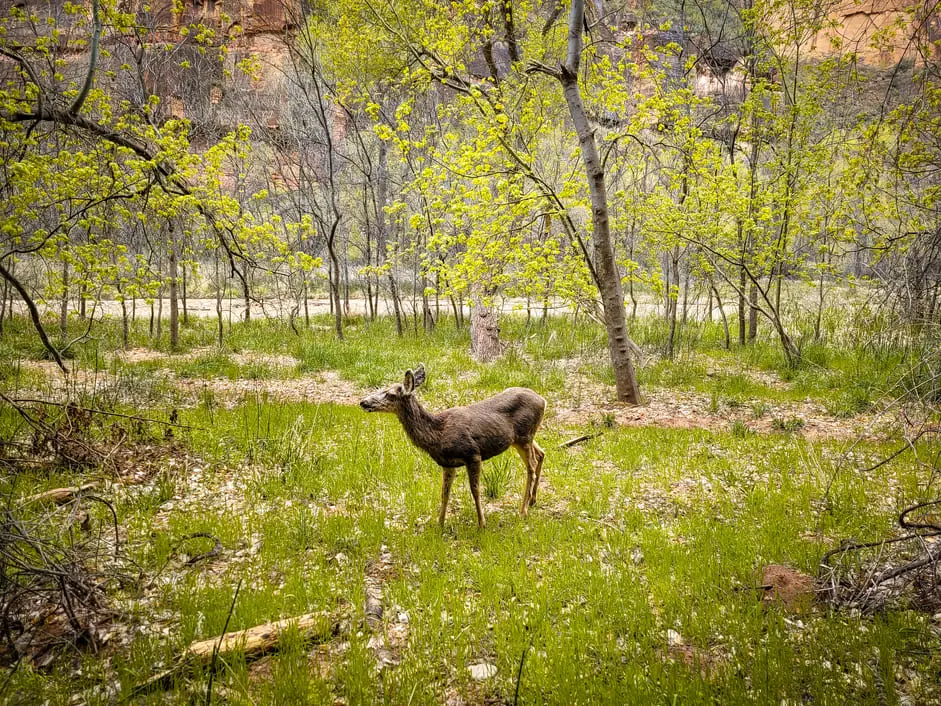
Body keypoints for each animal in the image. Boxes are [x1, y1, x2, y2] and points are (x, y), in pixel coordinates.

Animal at [362, 366, 552, 524]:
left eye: (390, 394)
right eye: (382, 388)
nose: (363, 402)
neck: (438, 433)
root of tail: (543, 400)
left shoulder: (473, 454)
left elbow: (475, 490)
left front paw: (482, 523)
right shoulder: (447, 463)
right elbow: (444, 493)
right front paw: (439, 524)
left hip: (524, 436)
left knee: (531, 466)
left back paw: (523, 510)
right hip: (522, 438)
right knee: (541, 453)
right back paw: (533, 500)